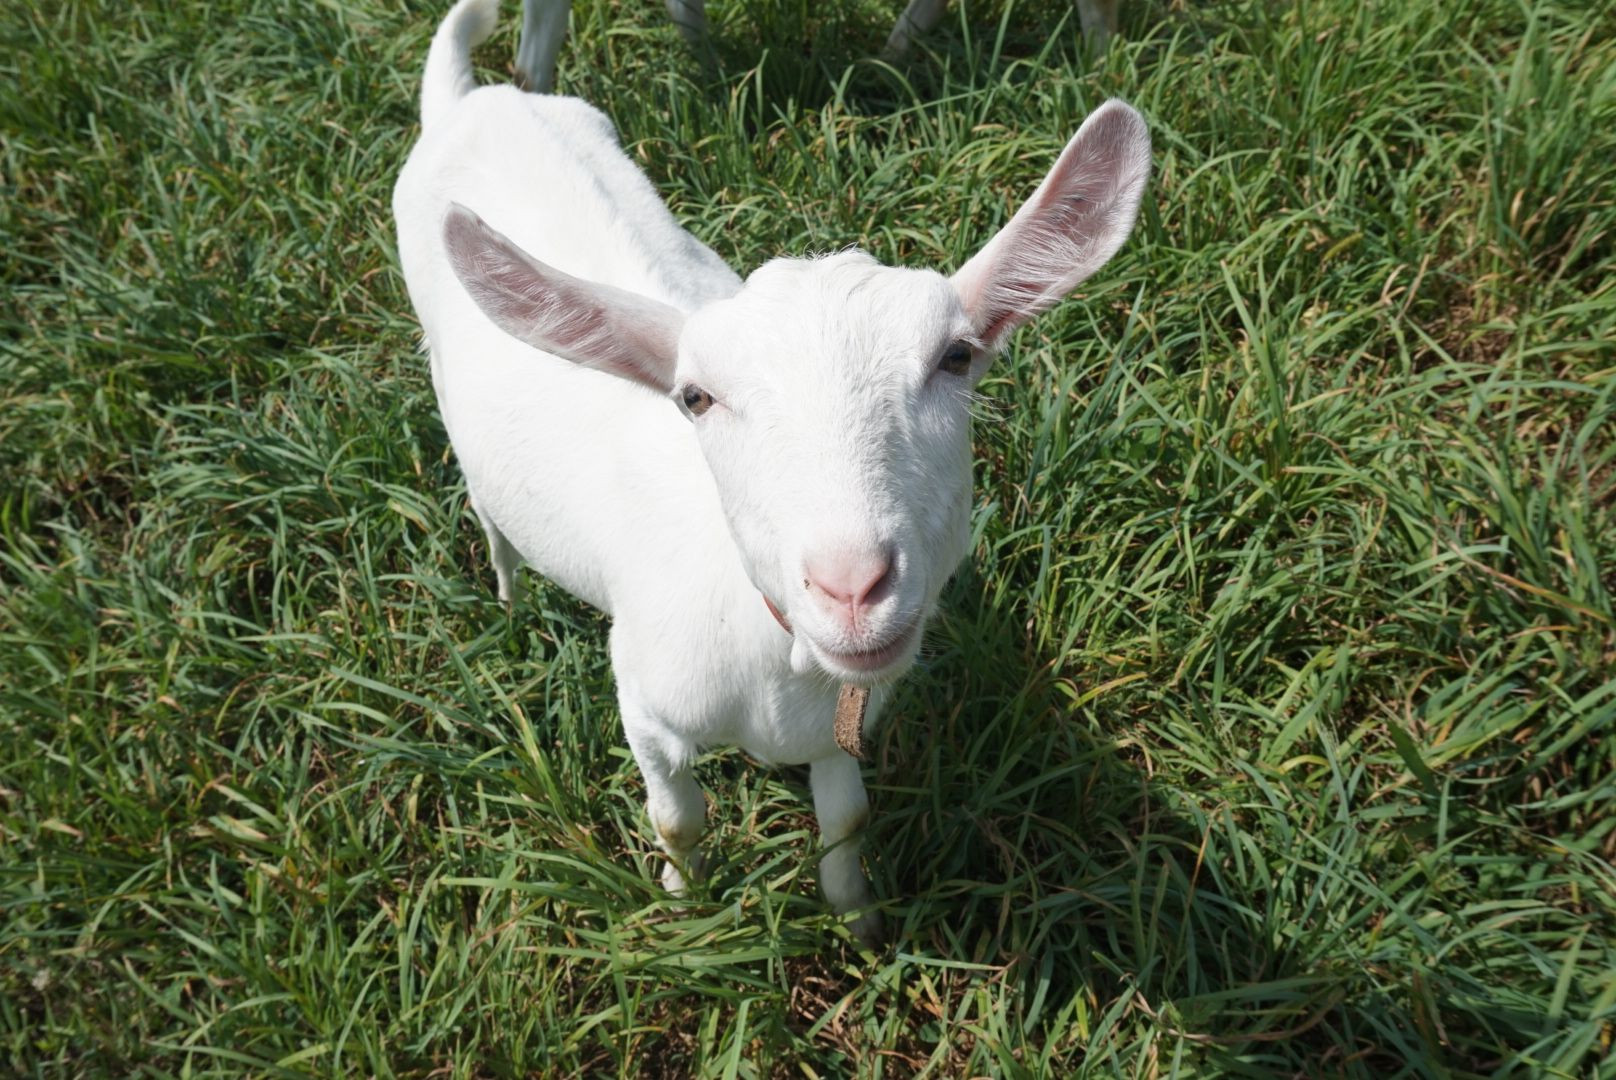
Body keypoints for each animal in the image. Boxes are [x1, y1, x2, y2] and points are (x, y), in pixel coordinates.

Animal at [393, 0, 1150, 945]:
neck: (777, 659)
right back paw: (507, 597)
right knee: (488, 510)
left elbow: (847, 820)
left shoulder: (841, 728)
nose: (851, 585)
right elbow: (677, 818)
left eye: (957, 357)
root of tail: (471, 100)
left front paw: (859, 925)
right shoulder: (645, 703)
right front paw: (684, 908)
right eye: (696, 397)